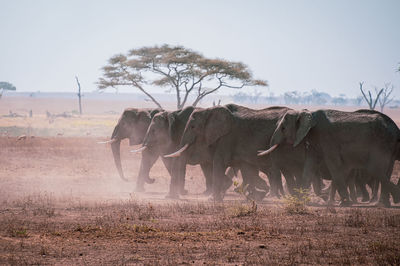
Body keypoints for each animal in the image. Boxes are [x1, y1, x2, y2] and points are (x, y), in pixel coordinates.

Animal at [260, 108, 400, 208]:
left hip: (382, 143)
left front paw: (344, 203)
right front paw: (300, 200)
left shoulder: (327, 138)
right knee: (384, 170)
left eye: (283, 128)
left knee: (374, 169)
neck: (307, 113)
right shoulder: (315, 141)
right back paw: (383, 204)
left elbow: (334, 165)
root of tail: (396, 129)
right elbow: (310, 165)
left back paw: (393, 199)